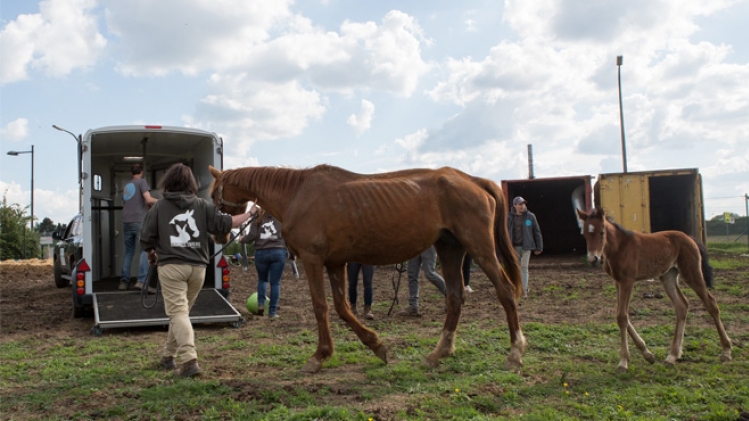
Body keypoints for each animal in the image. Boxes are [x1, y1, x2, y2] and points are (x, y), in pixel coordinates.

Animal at [209, 164, 524, 373]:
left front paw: (318, 356)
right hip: (450, 248)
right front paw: (377, 346)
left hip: (479, 247)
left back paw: (515, 353)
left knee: (505, 291)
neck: (296, 194)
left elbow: (321, 306)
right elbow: (342, 307)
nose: (220, 233)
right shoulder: (335, 263)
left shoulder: (313, 260)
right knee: (456, 297)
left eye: (213, 194)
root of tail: (472, 179)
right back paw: (439, 353)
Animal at [576, 207, 732, 372]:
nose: (593, 259)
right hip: (668, 276)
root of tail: (690, 238)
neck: (619, 247)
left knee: (711, 303)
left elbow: (622, 317)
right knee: (682, 306)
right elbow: (621, 315)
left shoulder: (627, 281)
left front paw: (623, 362)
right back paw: (672, 355)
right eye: (585, 234)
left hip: (692, 273)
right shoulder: (618, 282)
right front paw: (648, 355)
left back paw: (726, 351)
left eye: (602, 232)